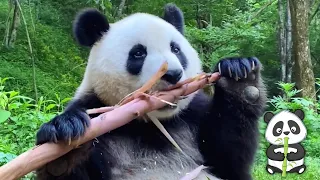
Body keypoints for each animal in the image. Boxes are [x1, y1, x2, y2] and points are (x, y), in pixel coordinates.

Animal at [35, 3, 268, 180]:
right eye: (138, 53)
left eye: (176, 49)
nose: (173, 74)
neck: (149, 124)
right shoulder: (96, 108)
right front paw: (64, 141)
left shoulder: (193, 113)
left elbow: (228, 161)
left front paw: (239, 75)